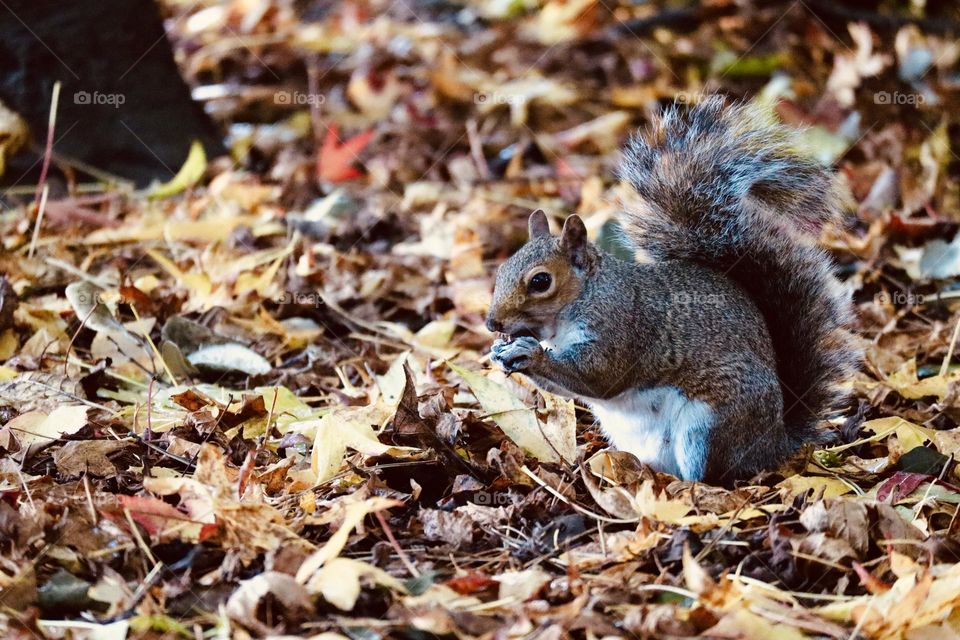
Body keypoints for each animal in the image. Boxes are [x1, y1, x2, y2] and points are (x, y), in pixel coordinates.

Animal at [485, 97, 858, 484]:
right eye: (501, 270)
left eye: (540, 282)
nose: (492, 323)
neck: (584, 299)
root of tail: (773, 444)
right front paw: (502, 352)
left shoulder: (623, 329)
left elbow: (599, 379)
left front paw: (530, 354)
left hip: (708, 425)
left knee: (712, 476)